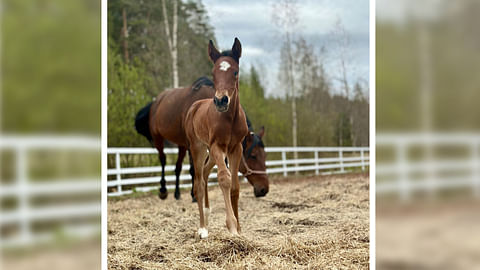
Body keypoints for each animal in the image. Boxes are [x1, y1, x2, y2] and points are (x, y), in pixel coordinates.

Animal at [184, 38, 248, 238]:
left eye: (235, 72)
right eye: (213, 73)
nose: (221, 101)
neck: (230, 119)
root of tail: (194, 106)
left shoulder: (236, 148)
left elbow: (235, 186)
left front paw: (240, 229)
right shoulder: (217, 146)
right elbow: (224, 179)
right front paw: (232, 227)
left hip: (211, 153)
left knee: (205, 173)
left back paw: (207, 215)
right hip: (199, 148)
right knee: (198, 182)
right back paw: (202, 228)